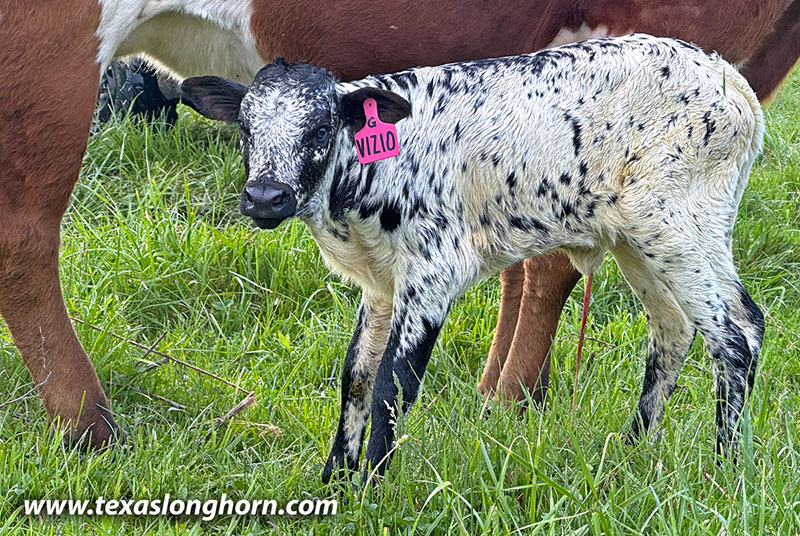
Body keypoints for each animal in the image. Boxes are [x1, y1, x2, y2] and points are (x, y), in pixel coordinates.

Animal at [0, 0, 797, 449]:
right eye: (246, 128)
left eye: (321, 128)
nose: (262, 198)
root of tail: (730, 84)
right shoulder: (379, 287)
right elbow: (354, 380)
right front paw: (336, 480)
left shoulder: (431, 274)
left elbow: (391, 387)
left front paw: (369, 489)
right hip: (642, 241)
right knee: (676, 331)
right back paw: (633, 454)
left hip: (680, 229)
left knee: (737, 332)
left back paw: (724, 468)